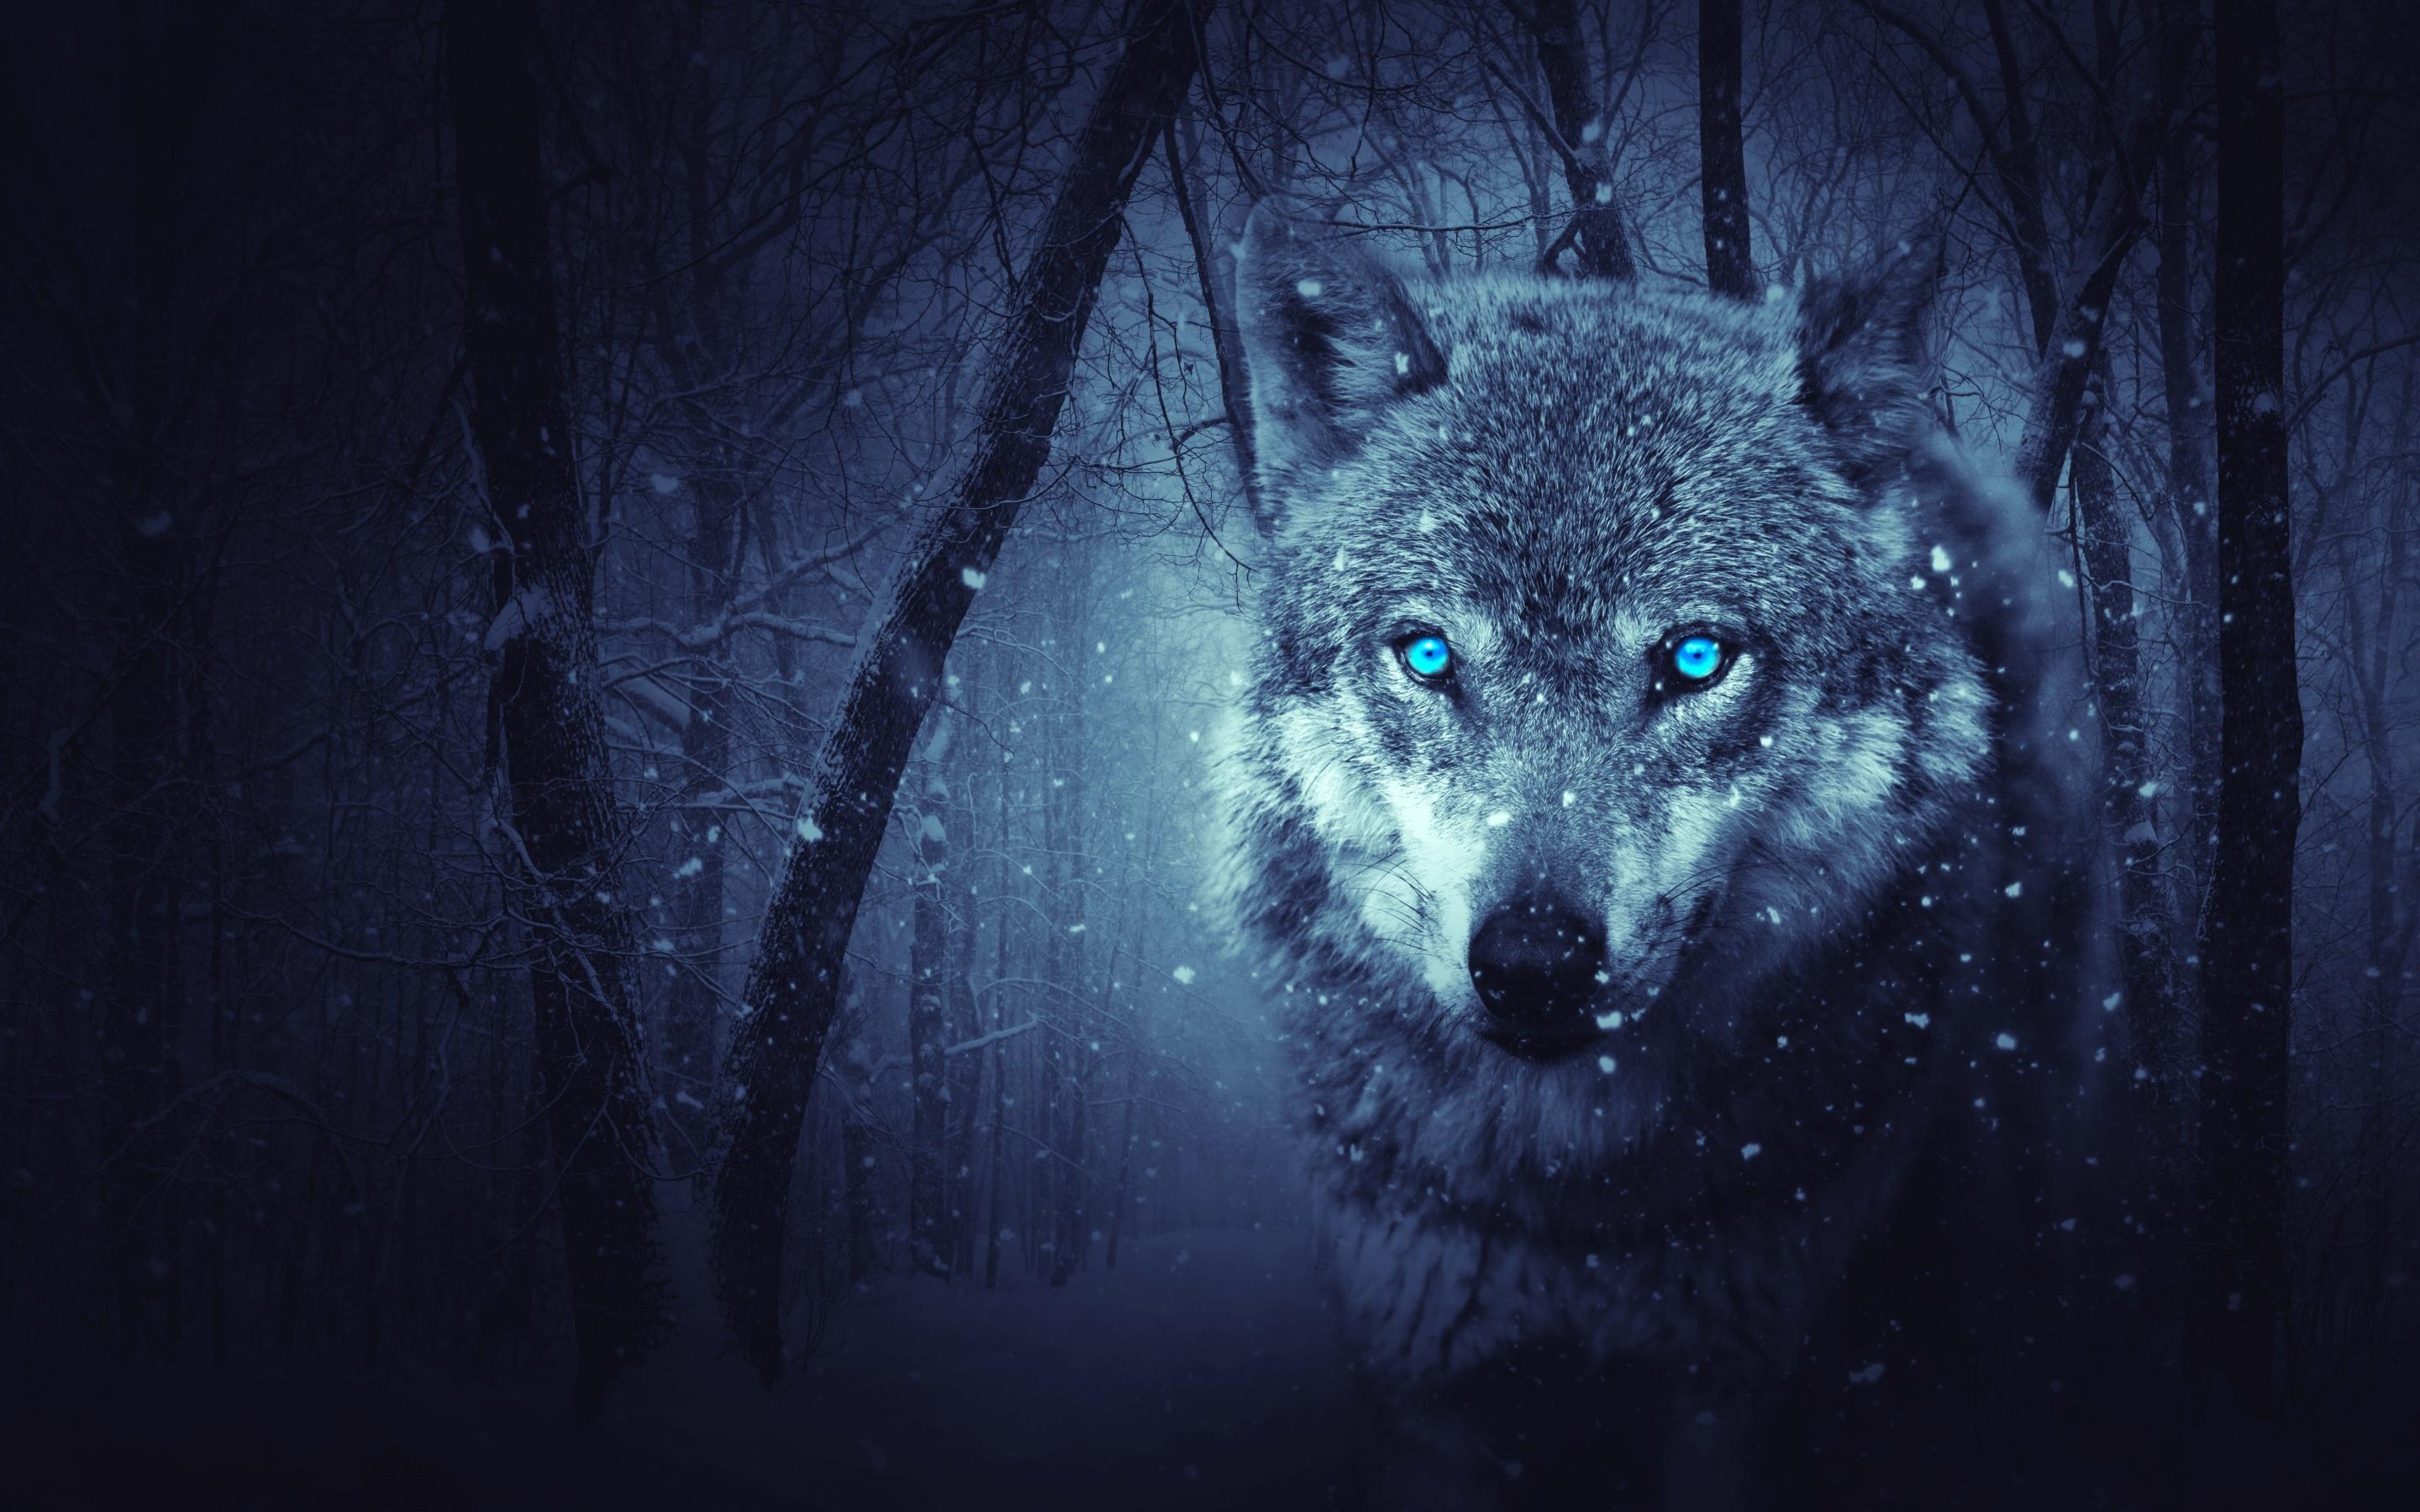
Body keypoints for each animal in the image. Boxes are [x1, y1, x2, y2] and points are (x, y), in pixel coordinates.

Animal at [1207, 204, 2114, 1509]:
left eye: (1694, 659)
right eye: (1429, 656)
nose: (1533, 964)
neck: (1575, 1207)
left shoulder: (1739, 1390)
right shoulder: (1427, 1385)